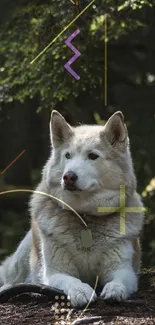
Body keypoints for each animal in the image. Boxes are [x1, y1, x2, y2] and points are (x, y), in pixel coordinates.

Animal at [0, 110, 145, 306]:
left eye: (93, 156)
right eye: (68, 156)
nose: (68, 177)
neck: (84, 217)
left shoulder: (124, 269)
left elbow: (119, 281)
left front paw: (115, 290)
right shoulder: (55, 273)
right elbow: (71, 281)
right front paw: (81, 291)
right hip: (22, 259)